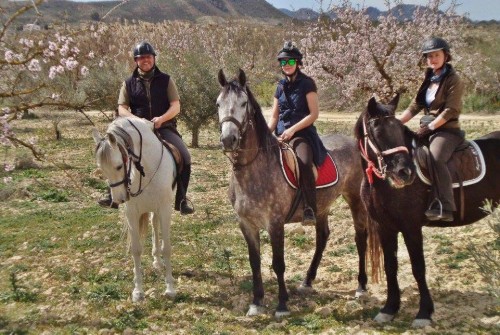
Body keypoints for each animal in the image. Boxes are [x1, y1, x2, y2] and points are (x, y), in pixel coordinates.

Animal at [92, 117, 178, 304]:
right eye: (102, 169)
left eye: (119, 166)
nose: (119, 199)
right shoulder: (131, 213)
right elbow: (136, 250)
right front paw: (138, 291)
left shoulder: (165, 210)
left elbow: (167, 248)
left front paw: (170, 288)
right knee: (154, 225)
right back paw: (156, 262)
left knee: (155, 225)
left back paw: (158, 262)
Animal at [354, 96, 500, 330]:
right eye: (377, 131)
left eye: (400, 130)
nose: (405, 173)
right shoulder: (386, 228)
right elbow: (390, 266)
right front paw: (389, 309)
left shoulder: (411, 228)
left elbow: (418, 268)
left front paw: (424, 313)